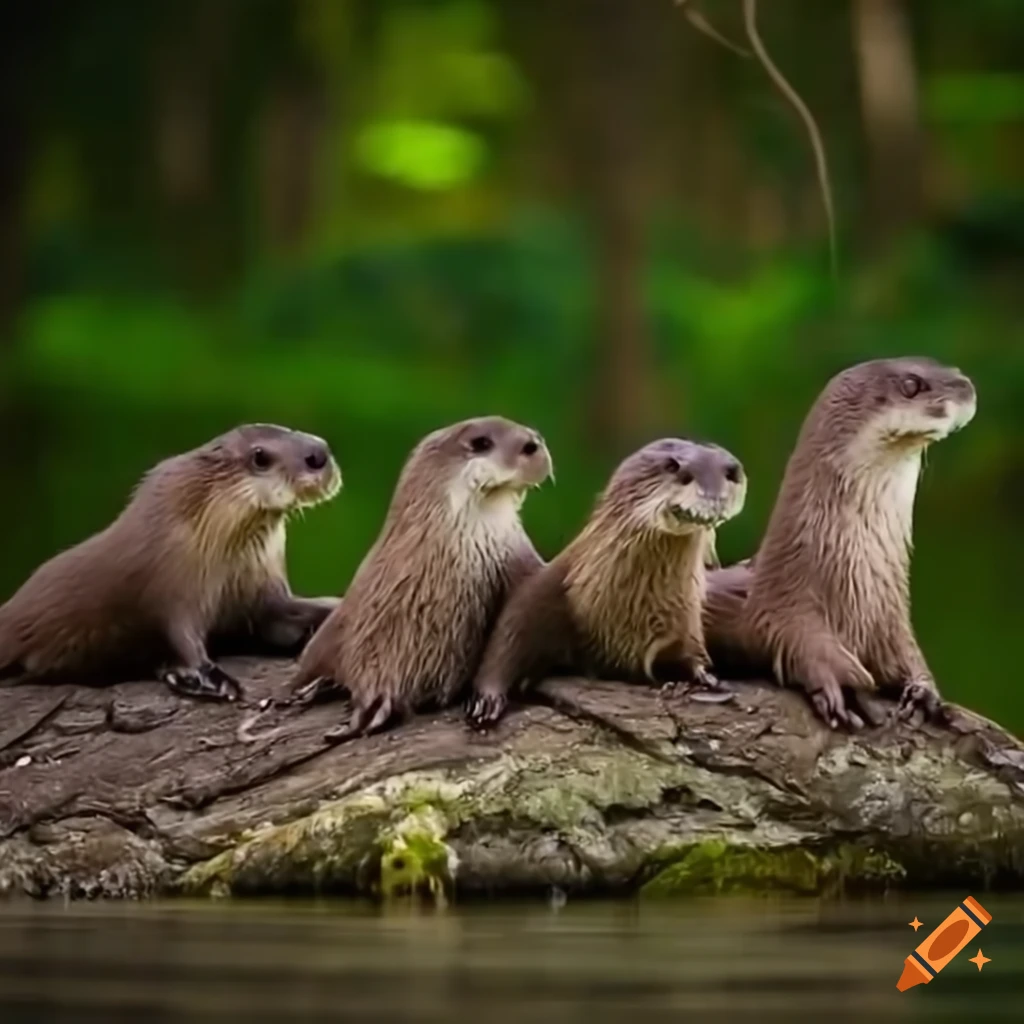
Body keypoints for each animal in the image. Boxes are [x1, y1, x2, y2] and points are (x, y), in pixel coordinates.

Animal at [0, 424, 341, 701]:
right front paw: (207, 677)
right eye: (260, 456)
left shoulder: (262, 591)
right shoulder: (171, 582)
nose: (319, 453)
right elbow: (180, 632)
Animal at [465, 438, 747, 729]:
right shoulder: (552, 587)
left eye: (728, 469)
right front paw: (487, 699)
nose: (730, 474)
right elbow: (509, 636)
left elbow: (691, 651)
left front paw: (706, 677)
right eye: (675, 468)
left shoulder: (686, 616)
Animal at [703, 357, 976, 730]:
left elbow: (908, 655)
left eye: (955, 370)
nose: (966, 387)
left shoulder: (889, 619)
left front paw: (923, 692)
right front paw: (836, 679)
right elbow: (795, 638)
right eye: (911, 384)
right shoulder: (786, 606)